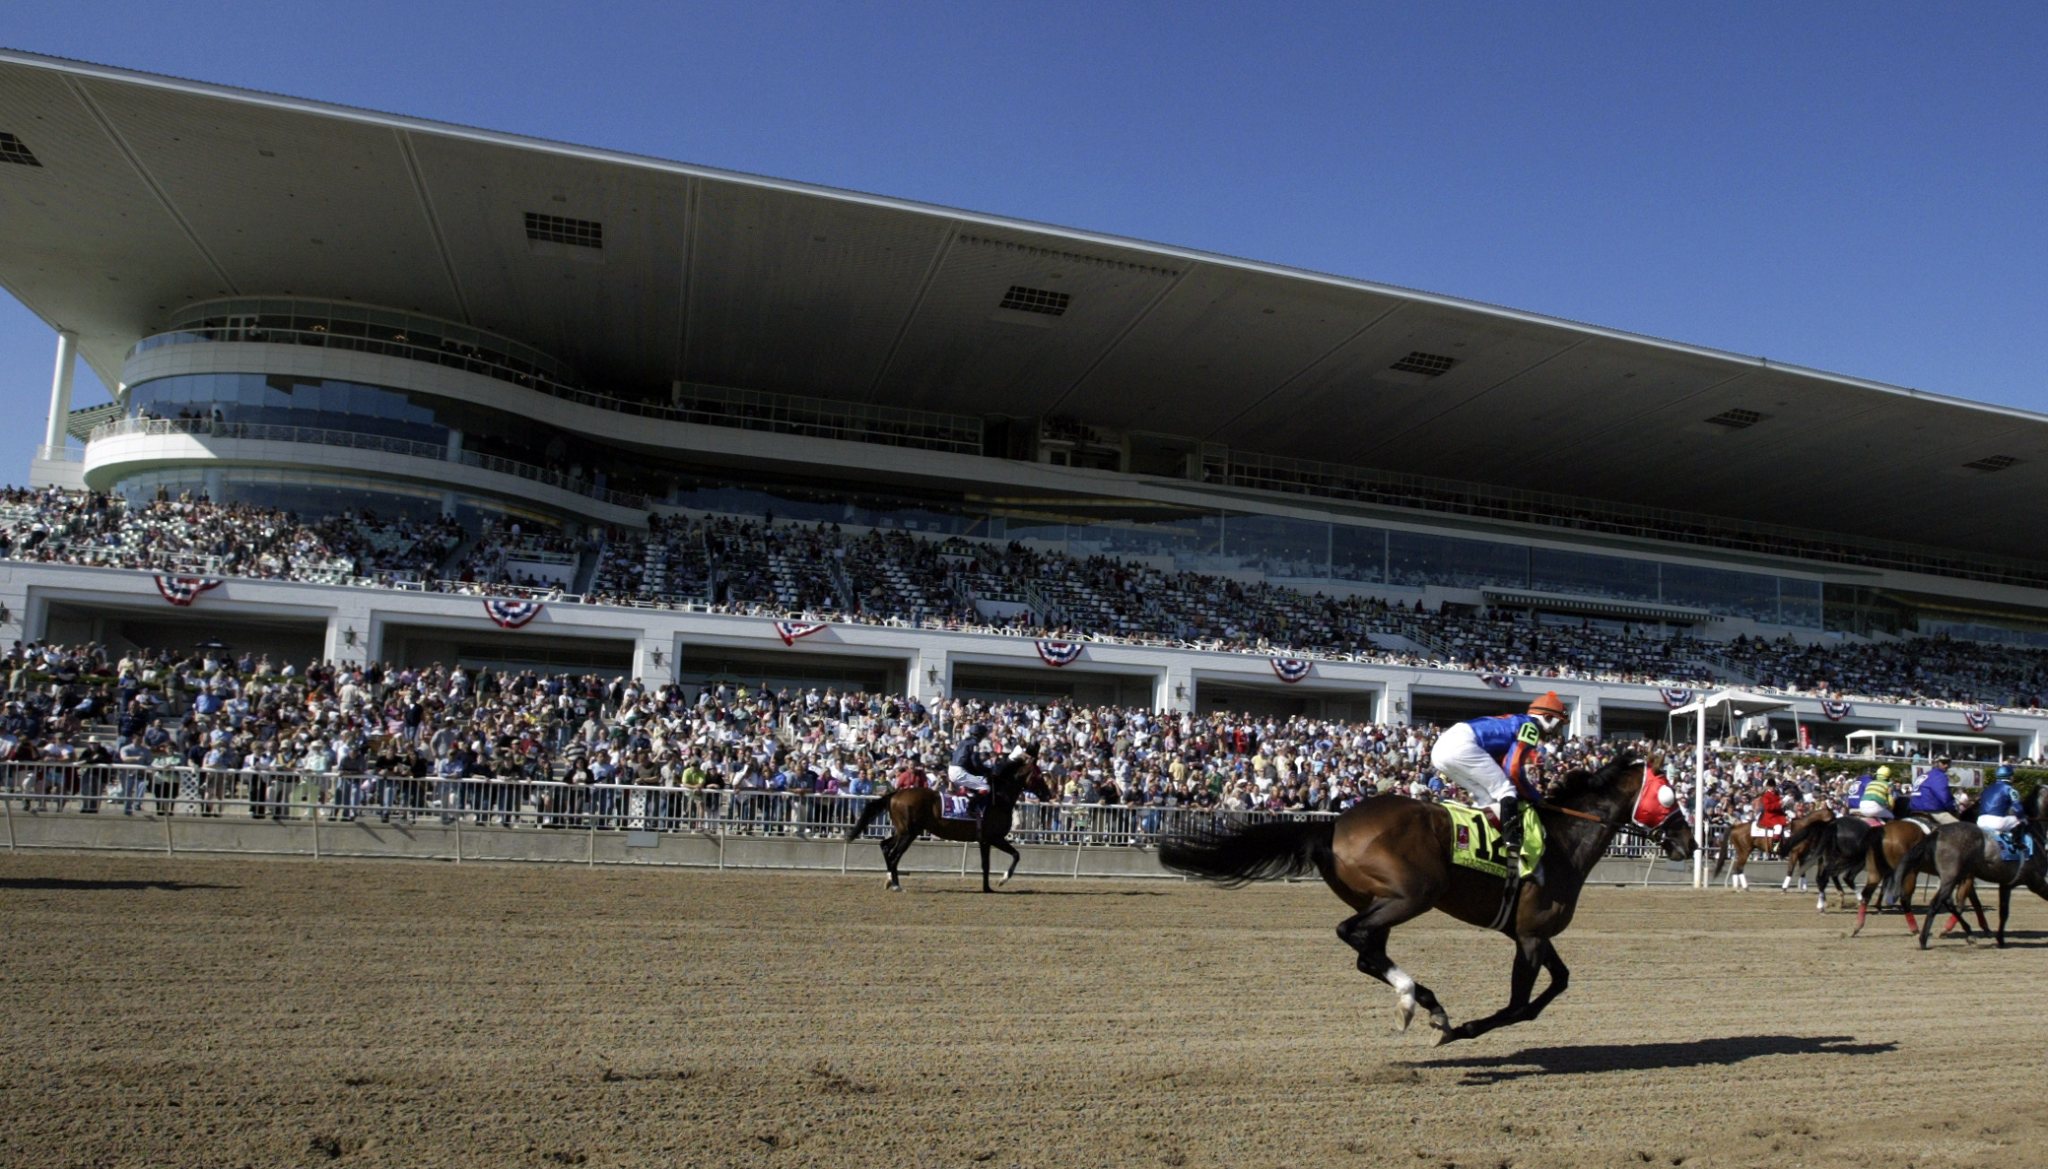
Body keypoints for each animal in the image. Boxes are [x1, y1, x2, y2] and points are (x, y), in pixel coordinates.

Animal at [847, 752, 1057, 892]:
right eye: (1039, 775)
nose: (1049, 794)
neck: (998, 798)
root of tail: (896, 793)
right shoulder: (993, 838)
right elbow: (1015, 855)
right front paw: (1001, 880)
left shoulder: (984, 840)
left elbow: (987, 864)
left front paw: (987, 887)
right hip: (909, 833)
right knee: (894, 854)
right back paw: (897, 885)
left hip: (903, 830)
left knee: (885, 846)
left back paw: (890, 879)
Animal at [1159, 751, 1694, 1046]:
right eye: (1670, 795)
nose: (1688, 841)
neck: (1563, 839)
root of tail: (1333, 825)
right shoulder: (1529, 937)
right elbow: (1518, 1004)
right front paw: (1463, 1032)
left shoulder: (1533, 932)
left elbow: (1557, 984)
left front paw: (1452, 1023)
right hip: (1414, 893)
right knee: (1352, 935)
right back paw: (1417, 1001)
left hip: (1382, 900)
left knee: (1366, 950)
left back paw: (1424, 1000)